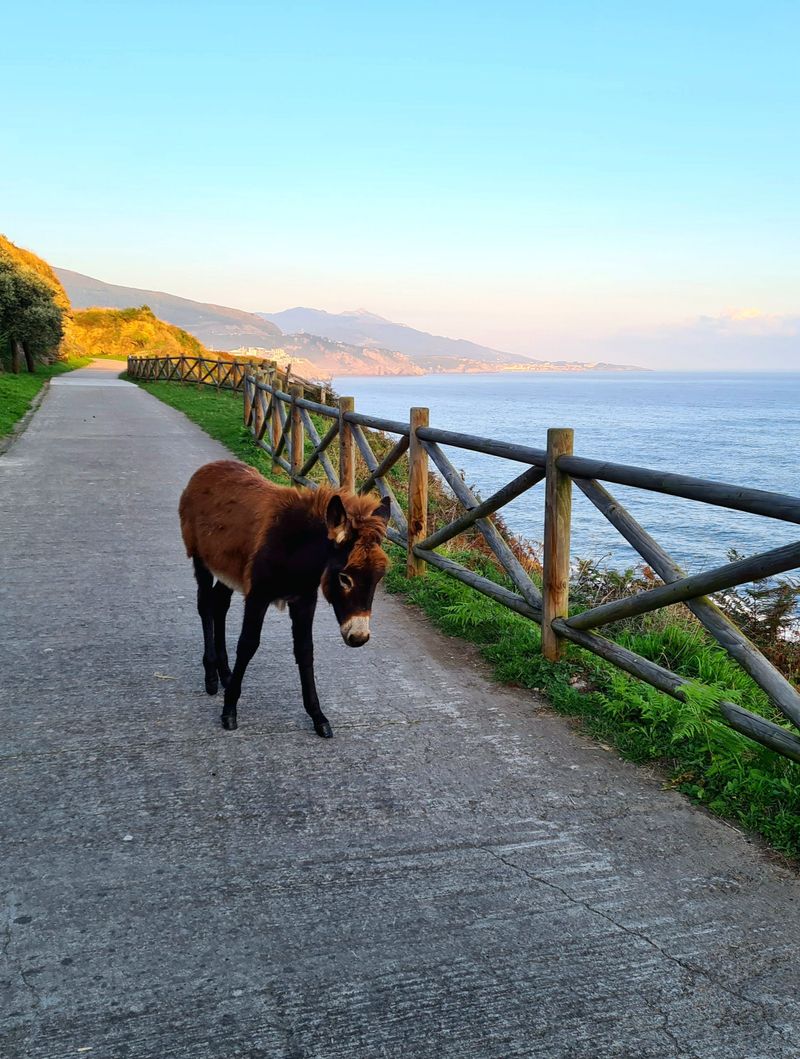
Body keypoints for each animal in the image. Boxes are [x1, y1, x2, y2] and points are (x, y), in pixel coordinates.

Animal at [179, 459, 392, 732]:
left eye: (378, 578)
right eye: (345, 578)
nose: (359, 637)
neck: (296, 553)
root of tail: (210, 467)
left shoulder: (304, 600)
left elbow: (305, 650)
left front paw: (317, 716)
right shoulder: (257, 596)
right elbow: (247, 644)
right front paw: (229, 710)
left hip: (229, 568)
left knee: (220, 604)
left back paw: (224, 673)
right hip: (201, 558)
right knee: (205, 604)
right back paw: (211, 676)